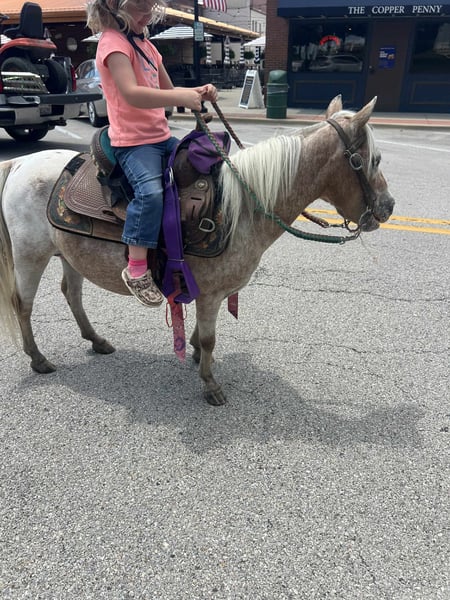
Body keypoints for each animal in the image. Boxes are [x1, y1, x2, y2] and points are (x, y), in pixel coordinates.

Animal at [0, 96, 395, 406]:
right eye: (373, 160)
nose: (389, 207)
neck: (244, 206)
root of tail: (21, 162)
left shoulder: (209, 292)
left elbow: (201, 338)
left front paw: (193, 354)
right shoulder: (210, 293)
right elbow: (210, 338)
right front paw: (210, 385)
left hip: (69, 252)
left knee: (72, 294)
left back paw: (96, 340)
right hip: (30, 256)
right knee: (24, 304)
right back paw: (38, 358)